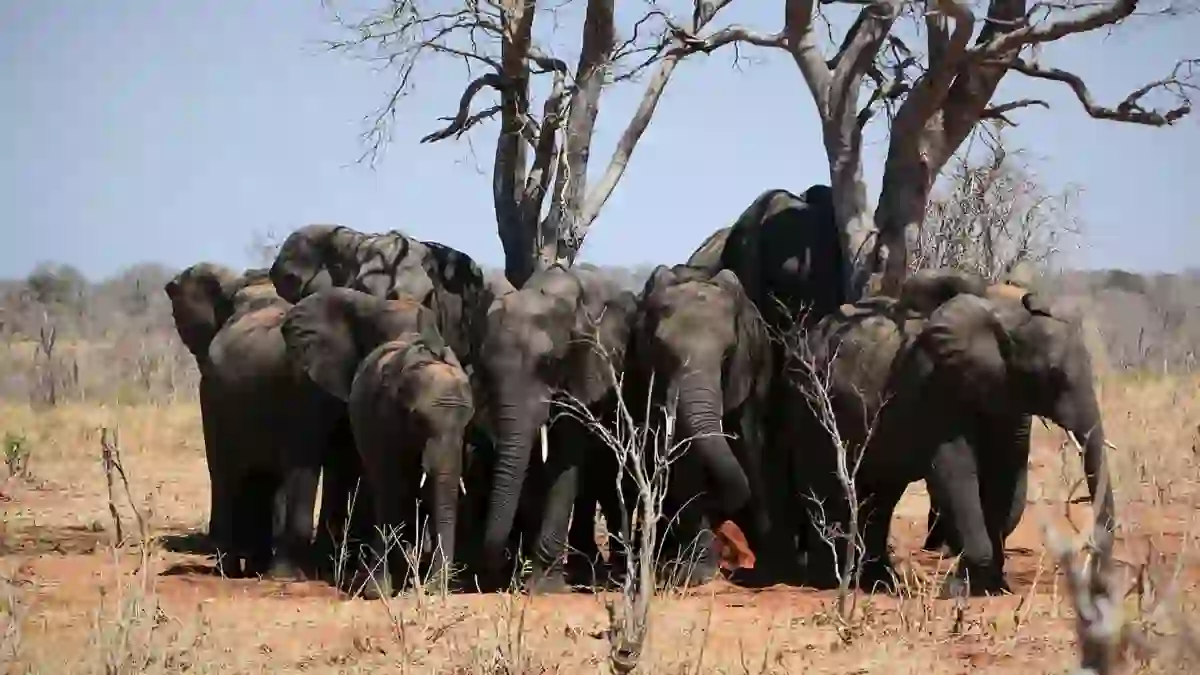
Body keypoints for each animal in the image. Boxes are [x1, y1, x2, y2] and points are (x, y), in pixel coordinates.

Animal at [280, 285, 472, 595]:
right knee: (387, 492)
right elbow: (389, 485)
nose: (433, 589)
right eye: (417, 419)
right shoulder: (382, 416)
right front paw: (377, 592)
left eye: (468, 422)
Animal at [475, 263, 638, 588]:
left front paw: (541, 585)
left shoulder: (589, 364)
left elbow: (565, 456)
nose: (499, 567)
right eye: (486, 369)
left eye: (548, 363)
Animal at [624, 265, 782, 586]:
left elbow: (750, 439)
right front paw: (697, 574)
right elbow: (685, 460)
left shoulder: (752, 368)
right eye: (662, 351)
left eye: (728, 354)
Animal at [777, 283, 1113, 593]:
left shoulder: (1006, 397)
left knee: (881, 496)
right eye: (1052, 374)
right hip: (809, 401)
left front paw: (992, 586)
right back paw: (829, 582)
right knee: (824, 484)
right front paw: (962, 589)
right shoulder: (934, 384)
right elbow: (955, 475)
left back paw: (881, 582)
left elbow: (1006, 476)